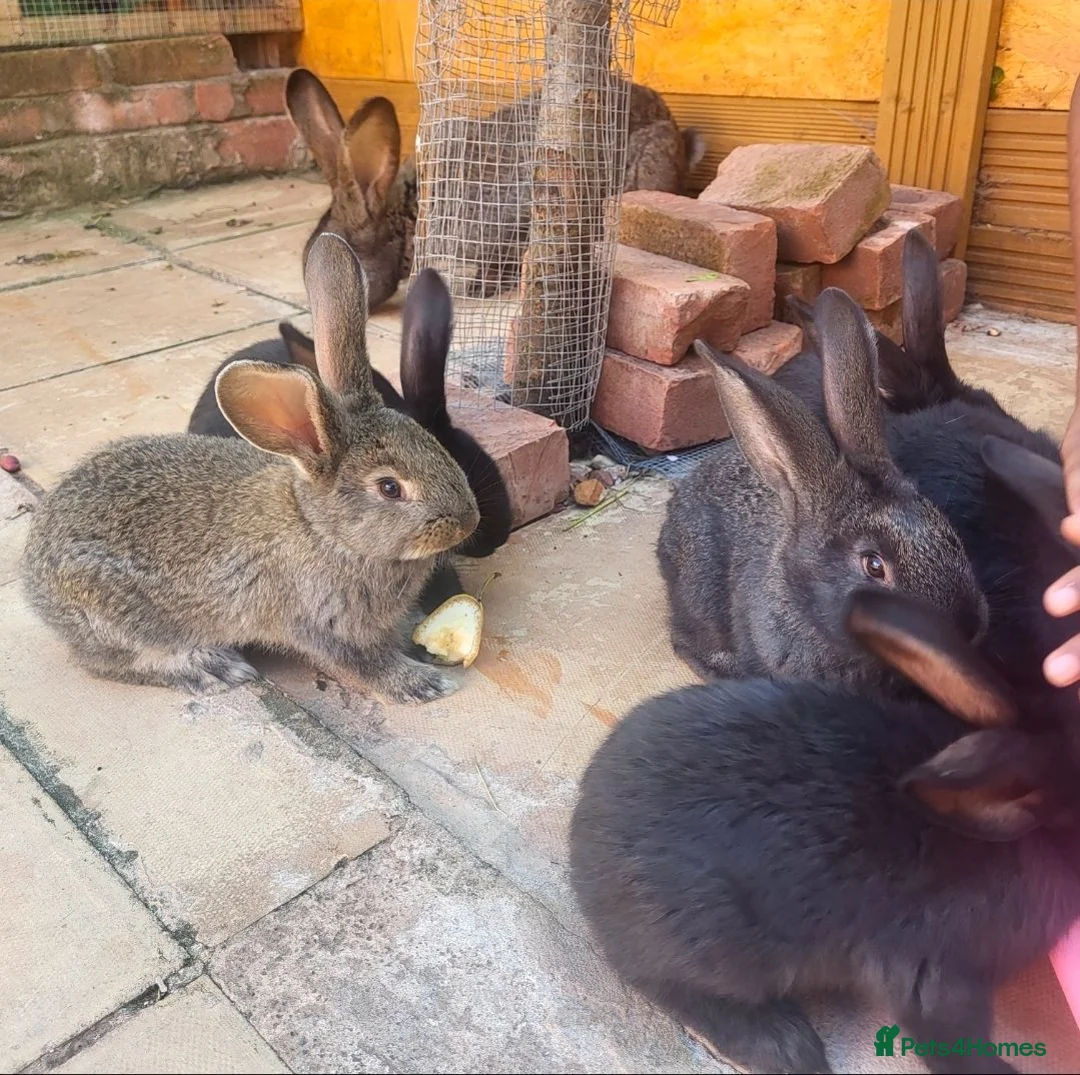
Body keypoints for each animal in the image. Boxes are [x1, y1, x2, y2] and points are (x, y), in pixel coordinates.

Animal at [22, 233, 480, 702]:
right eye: (390, 488)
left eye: (432, 443)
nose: (468, 521)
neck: (323, 531)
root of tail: (32, 577)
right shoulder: (323, 626)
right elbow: (365, 664)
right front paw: (421, 683)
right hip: (121, 618)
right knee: (117, 662)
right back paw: (214, 668)